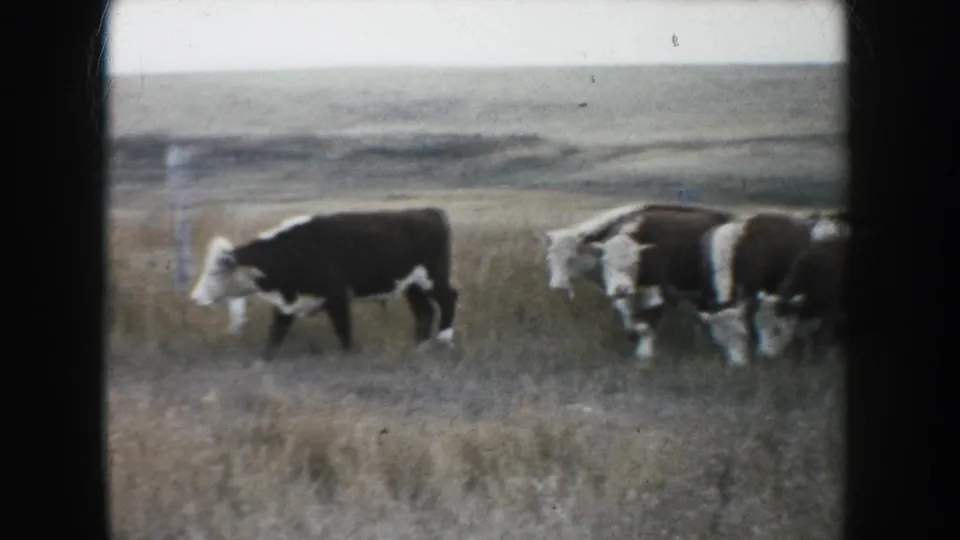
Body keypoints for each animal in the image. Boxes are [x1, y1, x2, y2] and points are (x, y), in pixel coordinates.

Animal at [188, 207, 460, 361]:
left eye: (214, 271)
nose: (196, 298)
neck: (291, 250)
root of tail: (429, 212)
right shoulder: (287, 304)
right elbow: (275, 334)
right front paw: (264, 358)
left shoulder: (337, 298)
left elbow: (344, 331)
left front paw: (348, 355)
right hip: (412, 288)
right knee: (425, 312)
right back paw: (419, 347)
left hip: (432, 279)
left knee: (449, 298)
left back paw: (444, 339)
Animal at [585, 207, 738, 360]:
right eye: (605, 261)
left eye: (636, 263)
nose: (621, 290)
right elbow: (628, 317)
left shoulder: (657, 291)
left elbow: (646, 325)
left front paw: (644, 353)